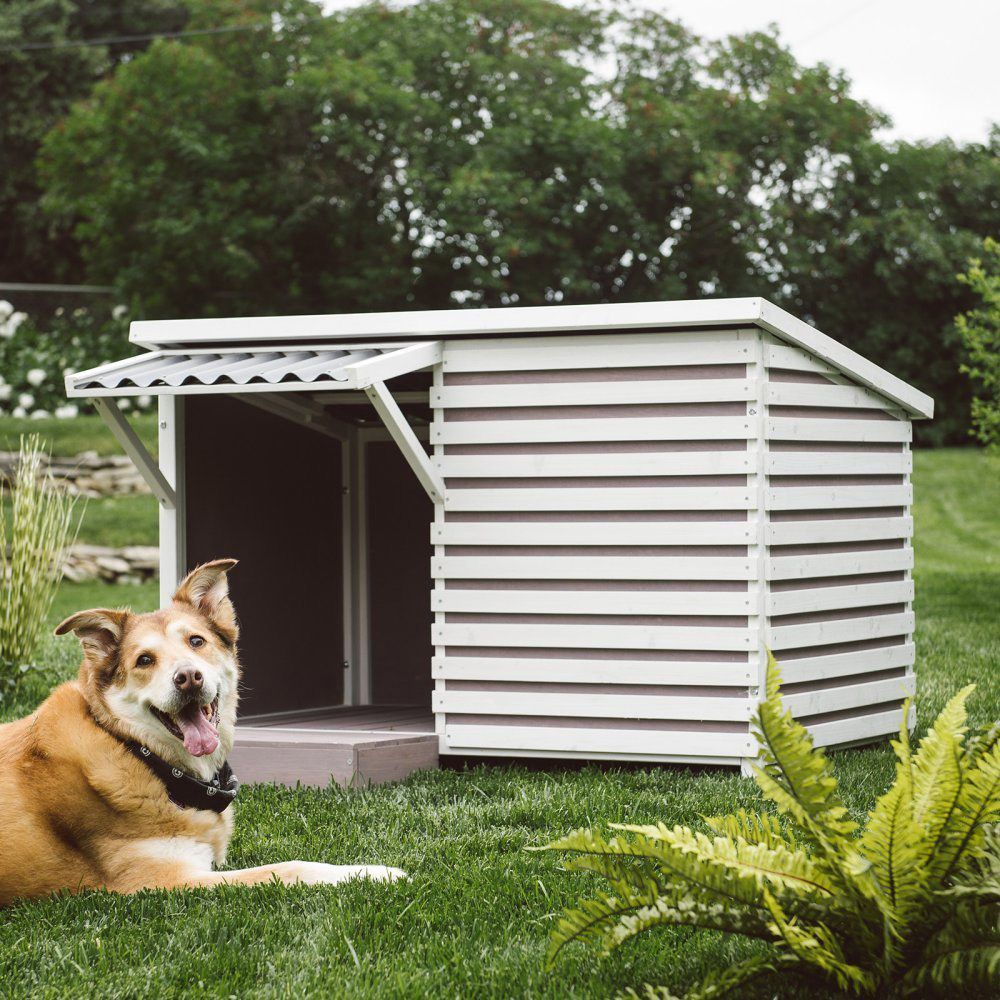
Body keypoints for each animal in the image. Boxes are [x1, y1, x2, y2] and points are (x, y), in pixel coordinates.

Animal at [0, 564, 406, 908]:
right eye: (144, 660)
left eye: (196, 641)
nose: (188, 677)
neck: (139, 753)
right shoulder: (164, 880)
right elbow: (287, 867)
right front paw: (374, 872)